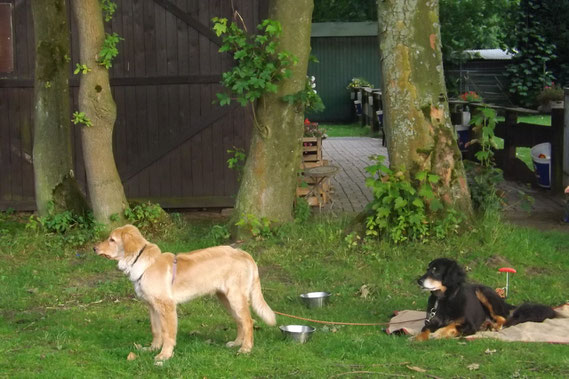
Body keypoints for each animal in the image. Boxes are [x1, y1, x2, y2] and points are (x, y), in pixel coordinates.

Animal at [94, 226, 276, 362]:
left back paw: (246, 349)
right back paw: (237, 343)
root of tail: (244, 253)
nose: (94, 248)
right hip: (226, 299)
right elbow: (156, 331)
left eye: (112, 240)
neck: (145, 264)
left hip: (235, 298)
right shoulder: (152, 307)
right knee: (240, 321)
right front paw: (152, 349)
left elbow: (168, 334)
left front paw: (164, 356)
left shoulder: (167, 307)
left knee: (248, 321)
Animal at [412, 258, 556, 342]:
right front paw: (417, 337)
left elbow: (453, 325)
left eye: (435, 270)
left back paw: (495, 326)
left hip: (483, 292)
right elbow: (424, 329)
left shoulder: (469, 325)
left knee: (504, 319)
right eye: (428, 269)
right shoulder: (430, 321)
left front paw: (440, 333)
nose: (419, 281)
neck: (445, 299)